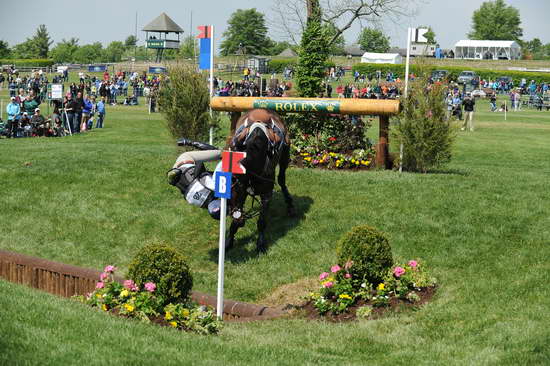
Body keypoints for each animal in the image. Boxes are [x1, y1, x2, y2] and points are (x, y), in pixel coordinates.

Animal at [226, 107, 296, 253]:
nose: (228, 210)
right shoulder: (243, 191)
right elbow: (235, 222)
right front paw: (229, 241)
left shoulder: (266, 194)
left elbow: (262, 221)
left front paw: (260, 244)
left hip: (285, 156)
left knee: (282, 179)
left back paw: (290, 205)